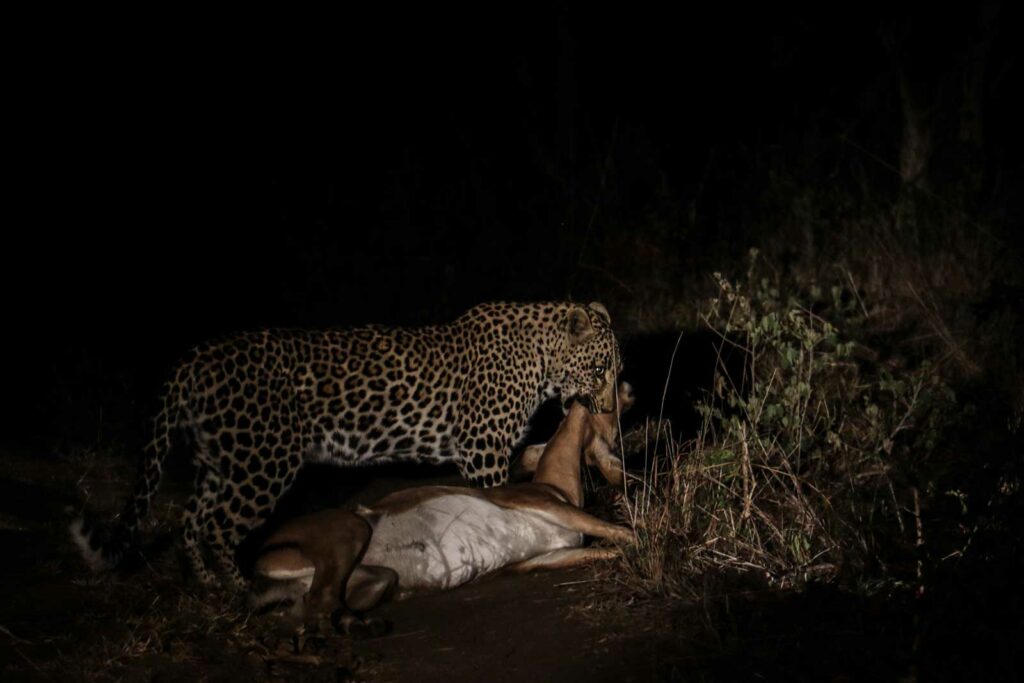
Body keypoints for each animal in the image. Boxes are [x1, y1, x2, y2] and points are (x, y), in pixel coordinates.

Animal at [250, 382, 635, 632]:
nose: (630, 389)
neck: (557, 486)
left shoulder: (545, 557)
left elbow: (608, 549)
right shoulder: (543, 503)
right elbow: (619, 531)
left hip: (376, 579)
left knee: (310, 607)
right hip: (352, 529)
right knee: (321, 600)